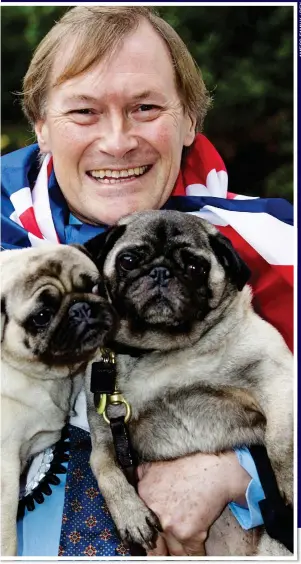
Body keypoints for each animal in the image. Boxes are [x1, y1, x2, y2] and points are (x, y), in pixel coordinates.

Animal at [83, 210, 292, 556]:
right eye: (128, 260)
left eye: (195, 268)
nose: (161, 272)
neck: (163, 350)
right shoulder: (107, 434)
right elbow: (102, 467)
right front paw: (130, 513)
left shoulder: (275, 374)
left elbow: (280, 442)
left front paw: (289, 481)